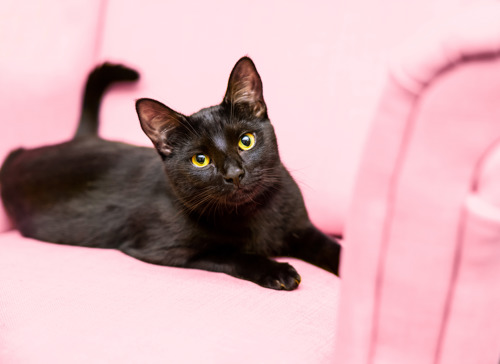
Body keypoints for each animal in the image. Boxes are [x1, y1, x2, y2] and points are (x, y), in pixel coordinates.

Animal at [0, 57, 342, 290]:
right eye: (200, 160)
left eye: (246, 141)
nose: (234, 173)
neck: (253, 213)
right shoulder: (168, 249)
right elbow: (231, 254)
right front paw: (276, 270)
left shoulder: (302, 228)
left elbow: (334, 248)